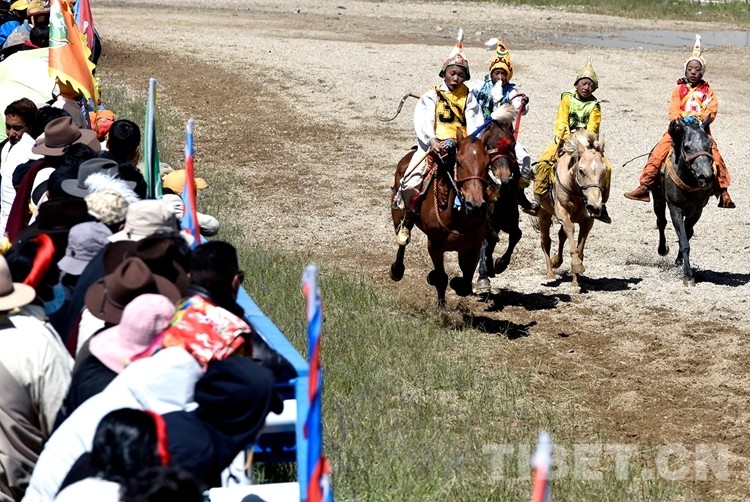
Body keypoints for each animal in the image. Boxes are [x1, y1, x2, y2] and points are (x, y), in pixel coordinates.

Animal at [390, 127, 496, 308]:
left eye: (487, 164)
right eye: (459, 162)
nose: (475, 205)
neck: (457, 218)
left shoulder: (474, 247)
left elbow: (465, 283)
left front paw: (456, 283)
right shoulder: (435, 245)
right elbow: (441, 278)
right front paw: (441, 307)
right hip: (398, 208)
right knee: (402, 241)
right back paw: (397, 268)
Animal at [476, 104, 524, 290]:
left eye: (512, 145)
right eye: (489, 144)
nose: (504, 177)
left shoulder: (511, 215)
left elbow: (516, 234)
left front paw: (499, 265)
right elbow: (486, 240)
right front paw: (484, 274)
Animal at [536, 129, 608, 288]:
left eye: (604, 171)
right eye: (581, 171)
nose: (595, 206)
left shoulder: (588, 220)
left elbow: (579, 248)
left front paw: (576, 280)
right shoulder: (562, 212)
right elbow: (570, 230)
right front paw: (576, 264)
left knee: (560, 236)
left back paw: (557, 262)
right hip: (544, 214)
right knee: (546, 241)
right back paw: (550, 272)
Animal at [652, 115, 716, 284]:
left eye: (709, 145)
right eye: (687, 147)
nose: (706, 176)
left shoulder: (697, 211)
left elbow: (686, 235)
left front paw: (681, 261)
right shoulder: (675, 208)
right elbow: (684, 241)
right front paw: (688, 274)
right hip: (658, 199)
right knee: (661, 222)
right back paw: (662, 249)